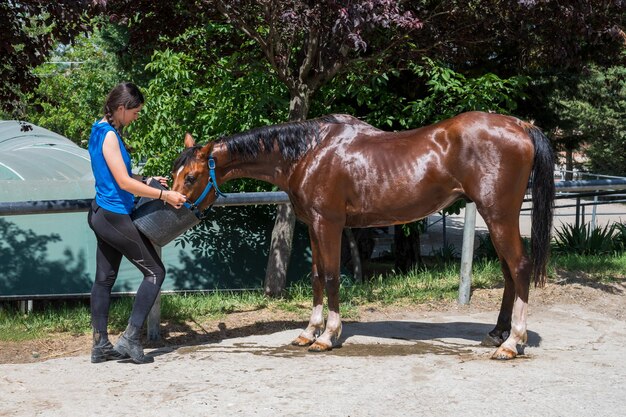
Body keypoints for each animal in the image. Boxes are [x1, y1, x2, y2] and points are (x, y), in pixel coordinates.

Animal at [169, 112, 552, 360]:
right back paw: (497, 334)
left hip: (499, 215)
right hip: (497, 217)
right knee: (508, 273)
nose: (175, 206)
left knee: (519, 268)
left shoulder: (328, 224)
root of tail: (522, 126)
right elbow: (315, 277)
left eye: (191, 176)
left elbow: (331, 277)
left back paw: (512, 343)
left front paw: (327, 336)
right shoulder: (312, 225)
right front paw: (308, 332)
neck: (309, 151)